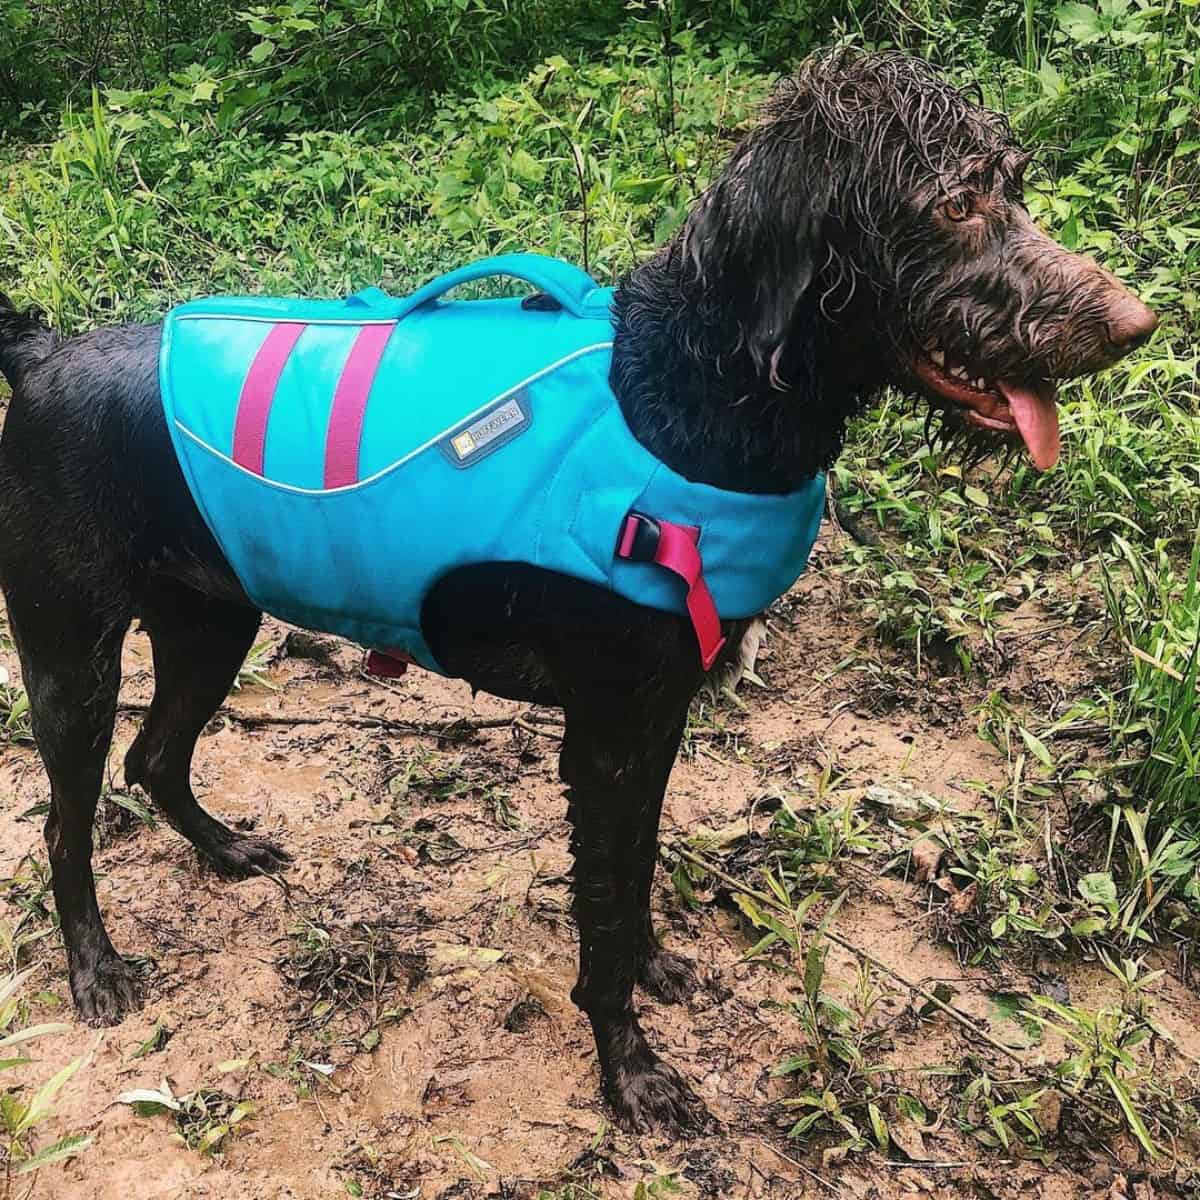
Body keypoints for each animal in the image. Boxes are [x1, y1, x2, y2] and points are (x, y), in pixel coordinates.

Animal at [0, 51, 1152, 1128]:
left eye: (1011, 187)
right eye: (950, 204)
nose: (1136, 324)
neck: (688, 391)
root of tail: (42, 353)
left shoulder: (657, 719)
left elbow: (632, 879)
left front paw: (652, 971)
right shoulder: (605, 734)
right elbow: (600, 906)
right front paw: (628, 1066)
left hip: (212, 621)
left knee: (154, 759)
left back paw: (226, 848)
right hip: (72, 659)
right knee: (67, 821)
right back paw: (96, 968)